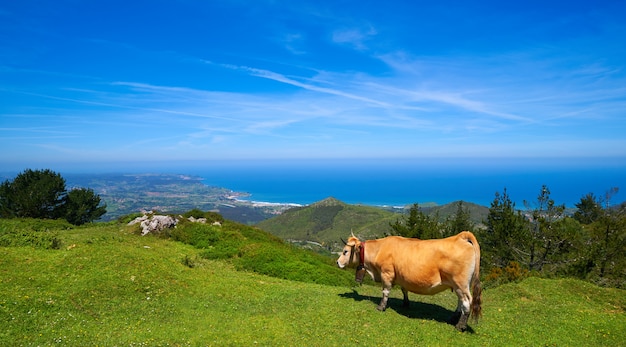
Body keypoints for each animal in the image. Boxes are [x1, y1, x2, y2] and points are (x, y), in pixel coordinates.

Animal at [334, 231, 480, 332]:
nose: (337, 262)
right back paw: (454, 318)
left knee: (466, 302)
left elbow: (385, 291)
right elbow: (404, 289)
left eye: (345, 251)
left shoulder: (386, 273)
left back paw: (460, 325)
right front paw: (405, 303)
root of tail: (460, 236)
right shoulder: (401, 276)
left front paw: (381, 307)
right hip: (460, 285)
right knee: (460, 301)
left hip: (460, 283)